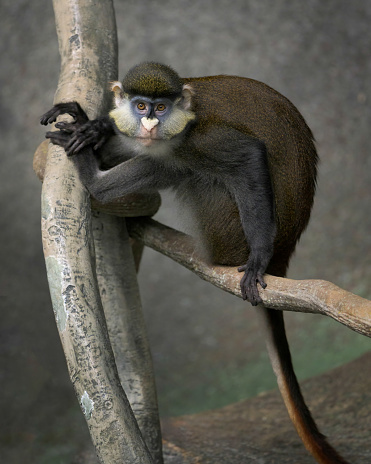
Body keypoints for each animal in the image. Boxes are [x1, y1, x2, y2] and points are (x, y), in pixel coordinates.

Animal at [42, 61, 350, 464]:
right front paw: (93, 124)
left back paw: (96, 182)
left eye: (160, 108)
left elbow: (249, 156)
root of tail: (285, 252)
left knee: (176, 167)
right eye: (141, 106)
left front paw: (258, 256)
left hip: (225, 228)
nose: (149, 124)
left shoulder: (198, 140)